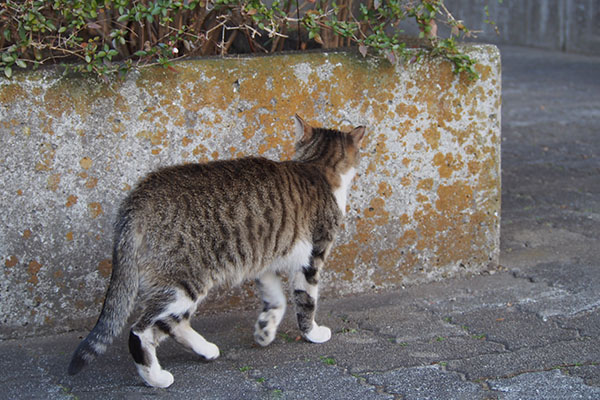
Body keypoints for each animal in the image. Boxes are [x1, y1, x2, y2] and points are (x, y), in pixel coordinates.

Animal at [66, 115, 366, 388]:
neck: (316, 167)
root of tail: (138, 199)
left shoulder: (264, 263)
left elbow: (276, 300)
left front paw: (265, 331)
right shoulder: (312, 258)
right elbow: (306, 301)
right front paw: (312, 333)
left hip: (180, 286)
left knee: (173, 324)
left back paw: (205, 349)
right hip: (184, 282)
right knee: (142, 331)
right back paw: (156, 378)